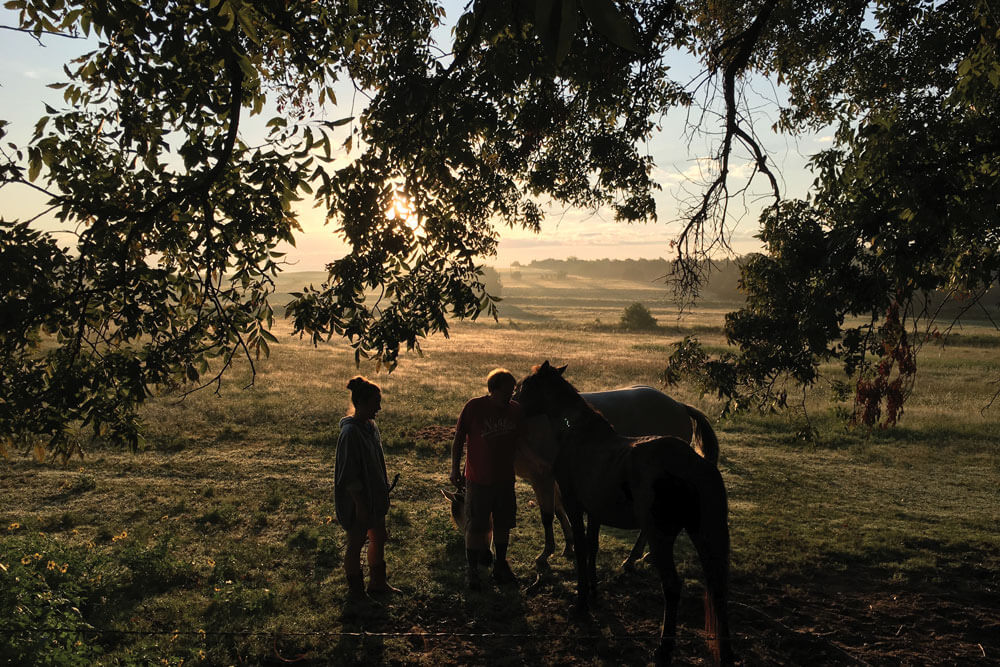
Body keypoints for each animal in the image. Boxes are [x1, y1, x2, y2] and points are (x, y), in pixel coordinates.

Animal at [516, 366, 736, 667]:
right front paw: (594, 593)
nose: (513, 402)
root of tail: (693, 463)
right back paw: (724, 652)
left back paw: (663, 647)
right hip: (702, 534)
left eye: (526, 385)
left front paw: (581, 602)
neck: (581, 437)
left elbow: (581, 548)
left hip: (662, 535)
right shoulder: (595, 509)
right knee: (717, 587)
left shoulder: (575, 505)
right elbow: (593, 547)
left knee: (672, 586)